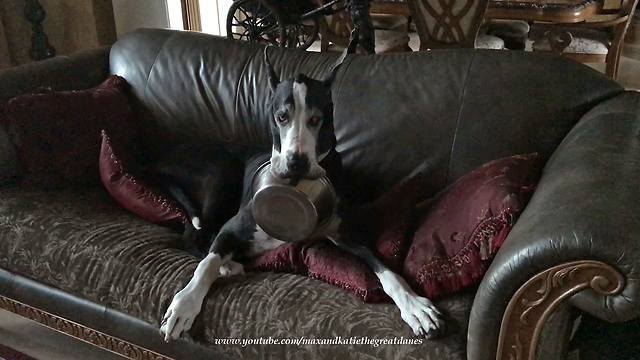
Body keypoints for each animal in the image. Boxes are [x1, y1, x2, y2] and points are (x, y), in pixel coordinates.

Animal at [158, 46, 442, 342]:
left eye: (316, 119)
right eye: (281, 117)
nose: (297, 161)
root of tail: (160, 160)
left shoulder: (348, 234)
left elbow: (387, 270)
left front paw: (414, 305)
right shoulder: (231, 228)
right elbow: (206, 265)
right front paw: (185, 303)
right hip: (220, 172)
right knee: (194, 238)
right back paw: (227, 265)